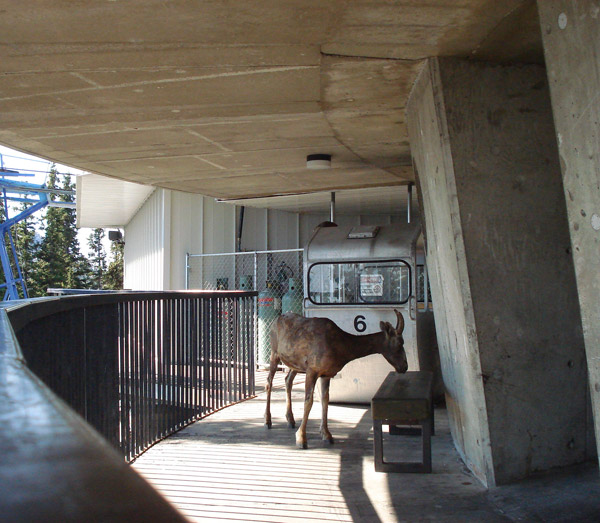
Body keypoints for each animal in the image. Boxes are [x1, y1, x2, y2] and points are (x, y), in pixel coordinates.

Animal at [264, 312, 408, 450]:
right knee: (269, 382)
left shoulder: (326, 374)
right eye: (400, 343)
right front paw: (301, 439)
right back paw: (268, 420)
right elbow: (308, 401)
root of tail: (274, 322)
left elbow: (325, 399)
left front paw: (326, 434)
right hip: (274, 353)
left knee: (288, 380)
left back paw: (290, 419)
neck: (342, 348)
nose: (404, 366)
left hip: (295, 364)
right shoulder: (312, 370)